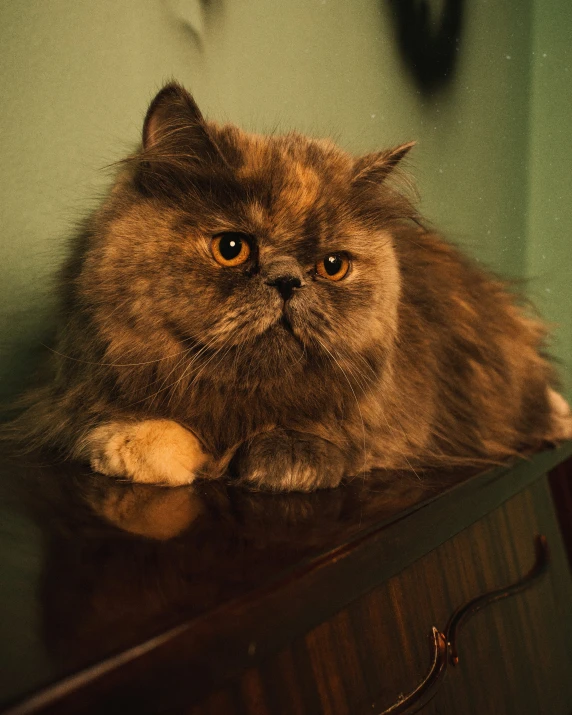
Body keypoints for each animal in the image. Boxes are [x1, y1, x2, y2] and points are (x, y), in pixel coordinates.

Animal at [6, 82, 568, 492]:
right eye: (231, 248)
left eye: (333, 266)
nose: (287, 281)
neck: (239, 410)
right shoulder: (64, 397)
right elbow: (132, 435)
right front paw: (153, 451)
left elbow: (319, 441)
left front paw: (275, 459)